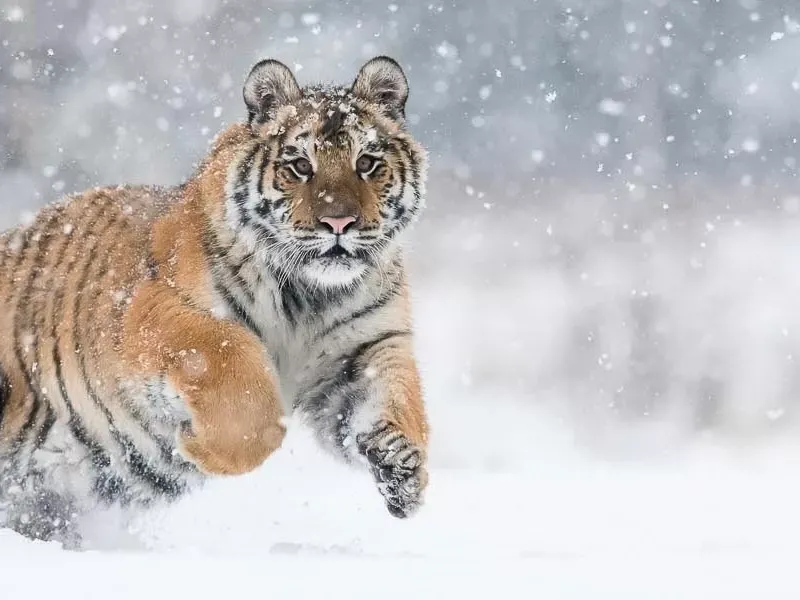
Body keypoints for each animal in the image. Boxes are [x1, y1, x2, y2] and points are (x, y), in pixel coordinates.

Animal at [0, 56, 429, 547]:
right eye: (301, 165)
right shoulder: (158, 311)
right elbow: (241, 381)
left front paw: (403, 470)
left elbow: (394, 400)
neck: (311, 295)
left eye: (367, 163)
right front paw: (196, 446)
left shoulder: (366, 348)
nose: (339, 222)